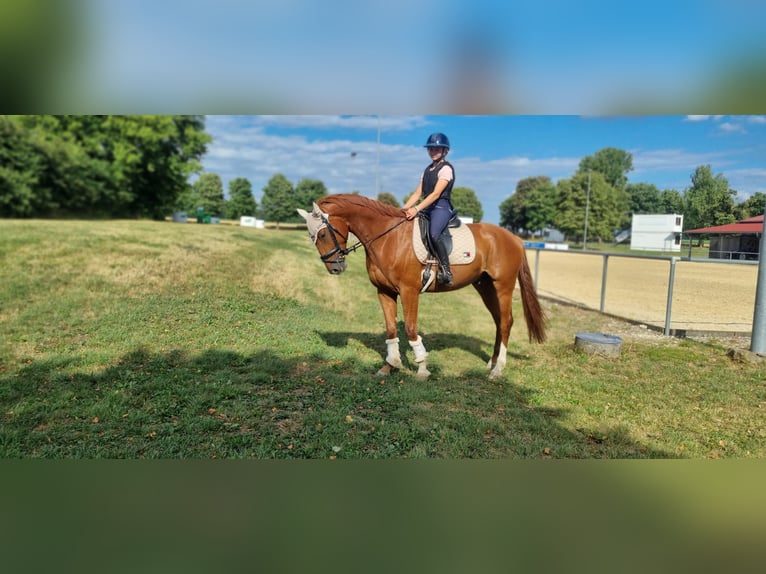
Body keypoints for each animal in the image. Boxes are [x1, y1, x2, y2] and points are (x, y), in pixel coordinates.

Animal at [297, 194, 546, 380]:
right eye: (311, 236)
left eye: (322, 234)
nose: (334, 268)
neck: (389, 237)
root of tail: (514, 238)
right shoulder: (384, 291)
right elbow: (391, 329)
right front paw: (390, 365)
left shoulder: (409, 291)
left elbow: (410, 328)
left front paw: (422, 368)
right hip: (485, 286)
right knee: (498, 322)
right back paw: (491, 363)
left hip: (503, 286)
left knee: (506, 322)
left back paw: (497, 370)